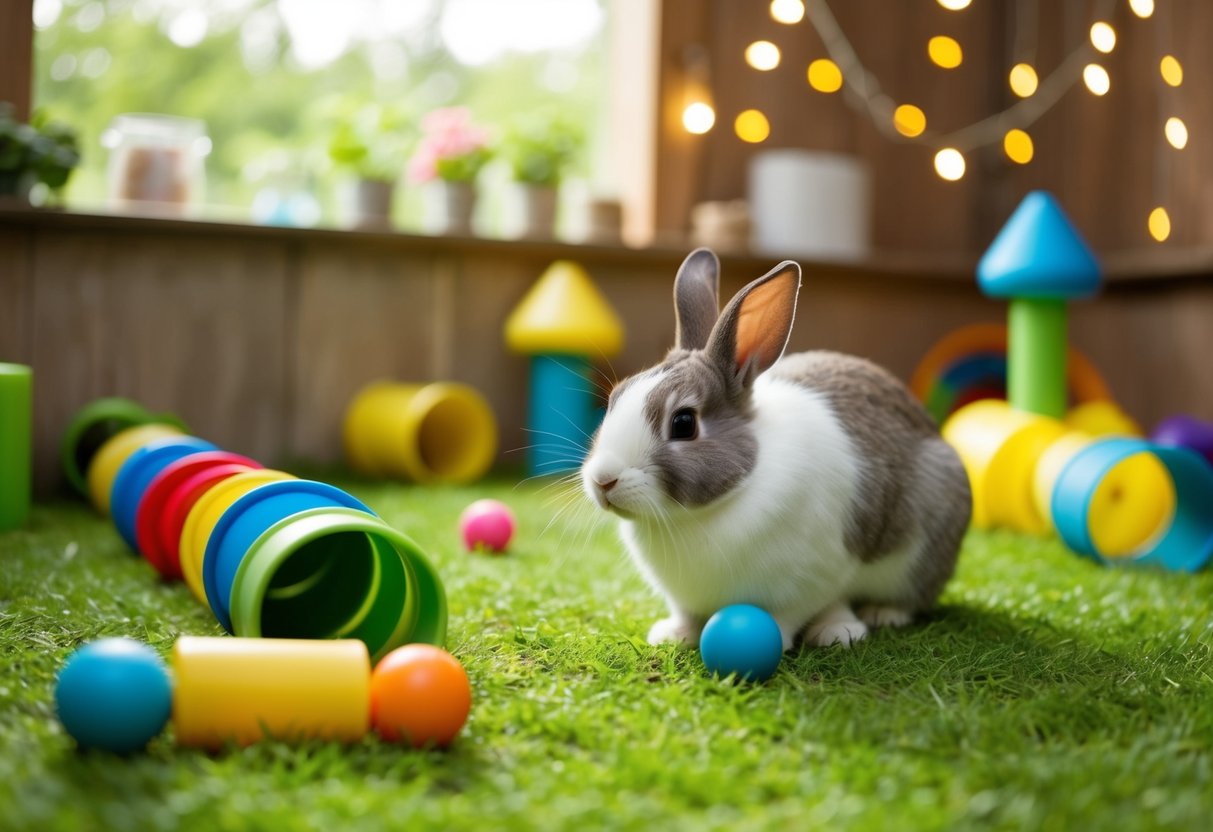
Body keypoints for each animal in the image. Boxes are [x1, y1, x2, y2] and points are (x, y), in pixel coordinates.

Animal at [580, 248, 971, 651]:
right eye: (616, 396)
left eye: (684, 423)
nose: (603, 480)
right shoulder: (683, 597)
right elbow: (686, 614)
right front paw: (673, 636)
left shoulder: (813, 579)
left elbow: (791, 614)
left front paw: (806, 636)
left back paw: (879, 614)